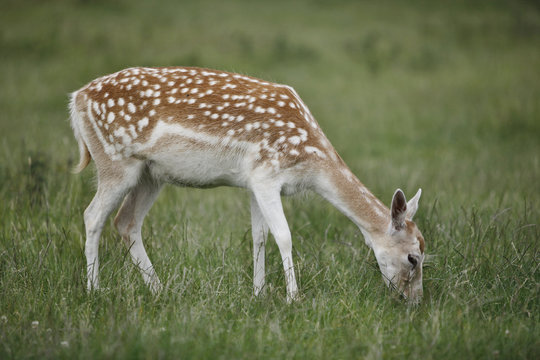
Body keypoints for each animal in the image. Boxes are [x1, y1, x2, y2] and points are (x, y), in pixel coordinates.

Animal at [69, 67, 426, 304]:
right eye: (413, 258)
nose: (414, 301)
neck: (310, 161)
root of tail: (76, 99)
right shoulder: (266, 174)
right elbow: (284, 235)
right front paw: (293, 298)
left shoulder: (254, 183)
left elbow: (259, 236)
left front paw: (259, 293)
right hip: (116, 161)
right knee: (92, 215)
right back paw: (94, 290)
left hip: (150, 174)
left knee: (125, 221)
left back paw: (158, 289)